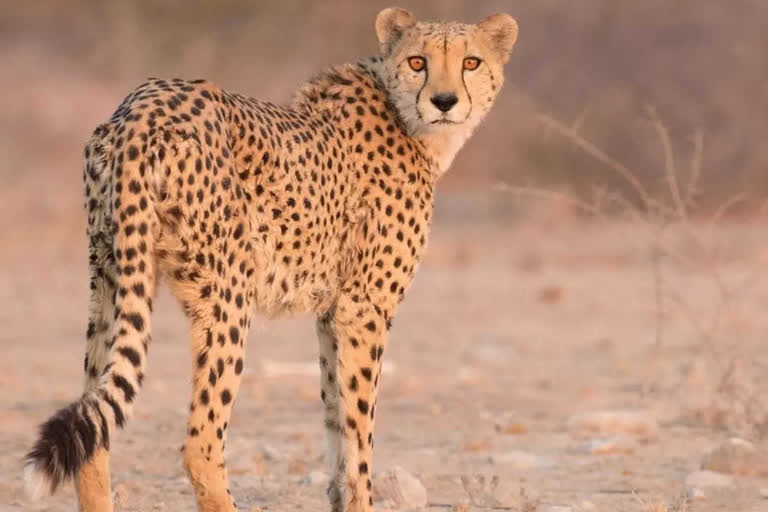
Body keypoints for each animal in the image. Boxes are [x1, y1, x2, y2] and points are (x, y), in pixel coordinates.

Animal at [25, 9, 516, 512]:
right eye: (418, 61)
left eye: (471, 62)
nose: (444, 100)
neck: (409, 121)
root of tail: (145, 105)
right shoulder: (365, 307)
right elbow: (360, 432)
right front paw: (361, 498)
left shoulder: (332, 313)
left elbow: (336, 417)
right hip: (227, 294)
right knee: (201, 443)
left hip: (110, 274)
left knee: (94, 429)